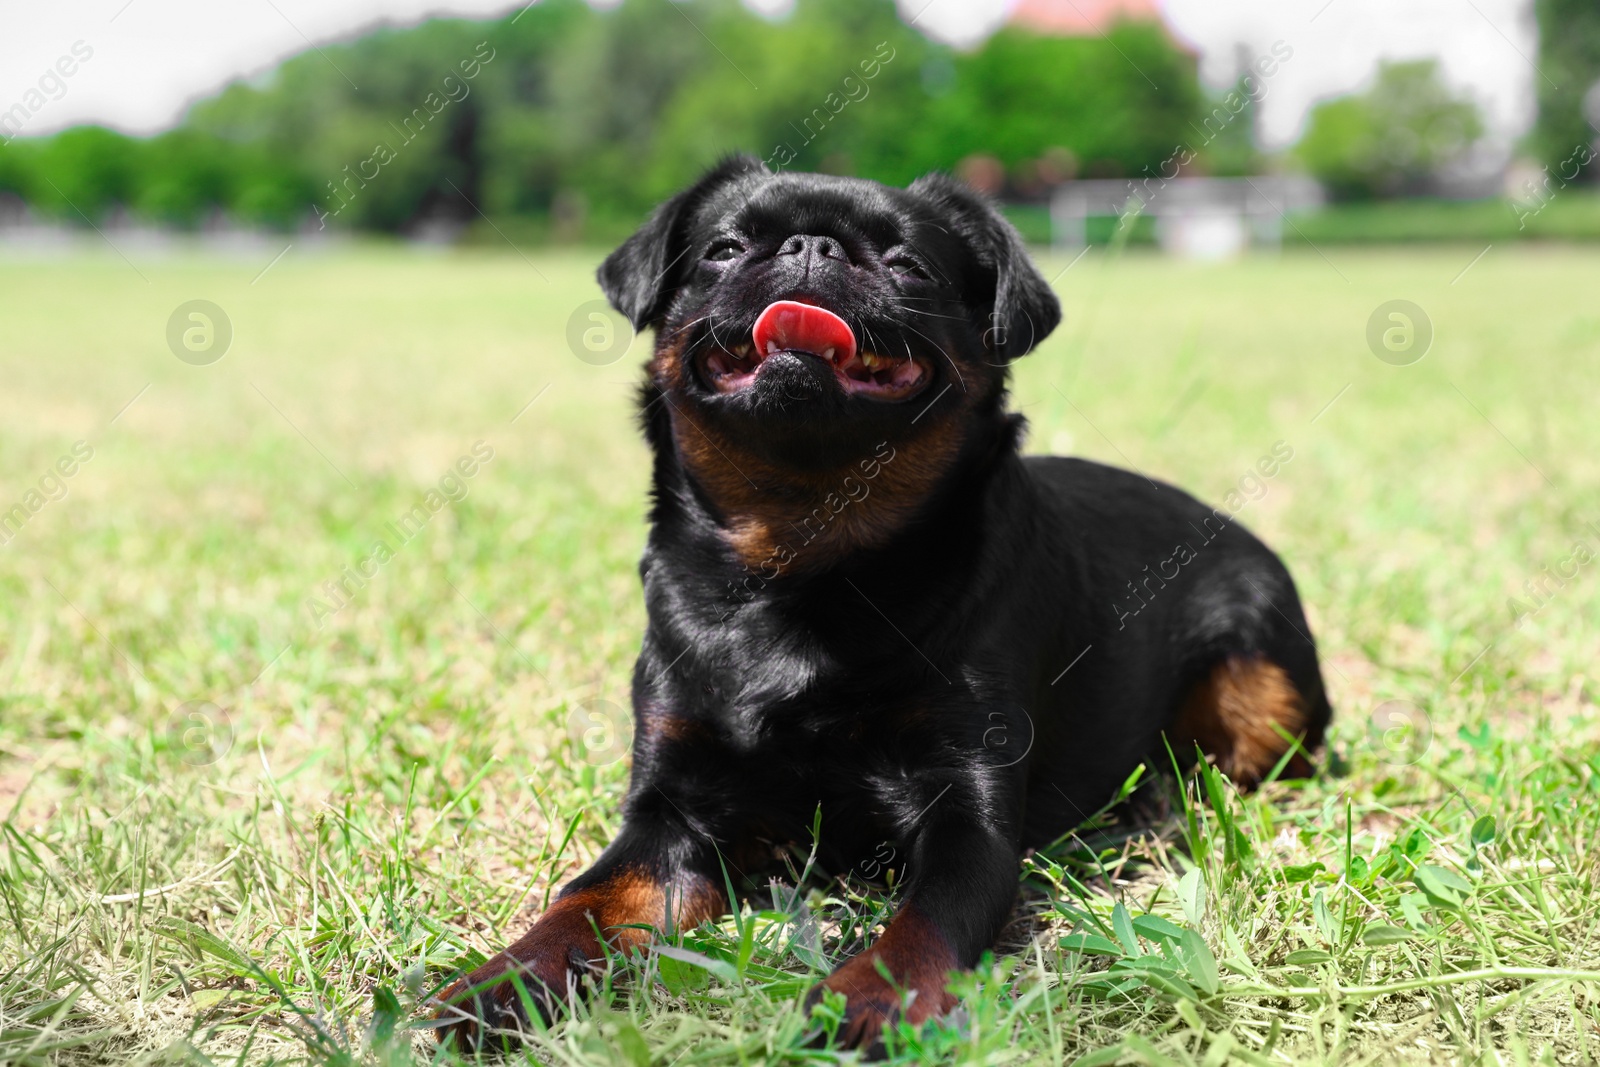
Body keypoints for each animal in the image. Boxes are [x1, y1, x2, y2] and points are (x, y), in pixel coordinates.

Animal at [435, 156, 1324, 1049]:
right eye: (723, 249)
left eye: (908, 265)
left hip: (1265, 687)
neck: (802, 564)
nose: (810, 244)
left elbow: (926, 919)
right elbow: (585, 897)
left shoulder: (967, 812)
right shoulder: (670, 815)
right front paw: (506, 977)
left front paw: (870, 998)